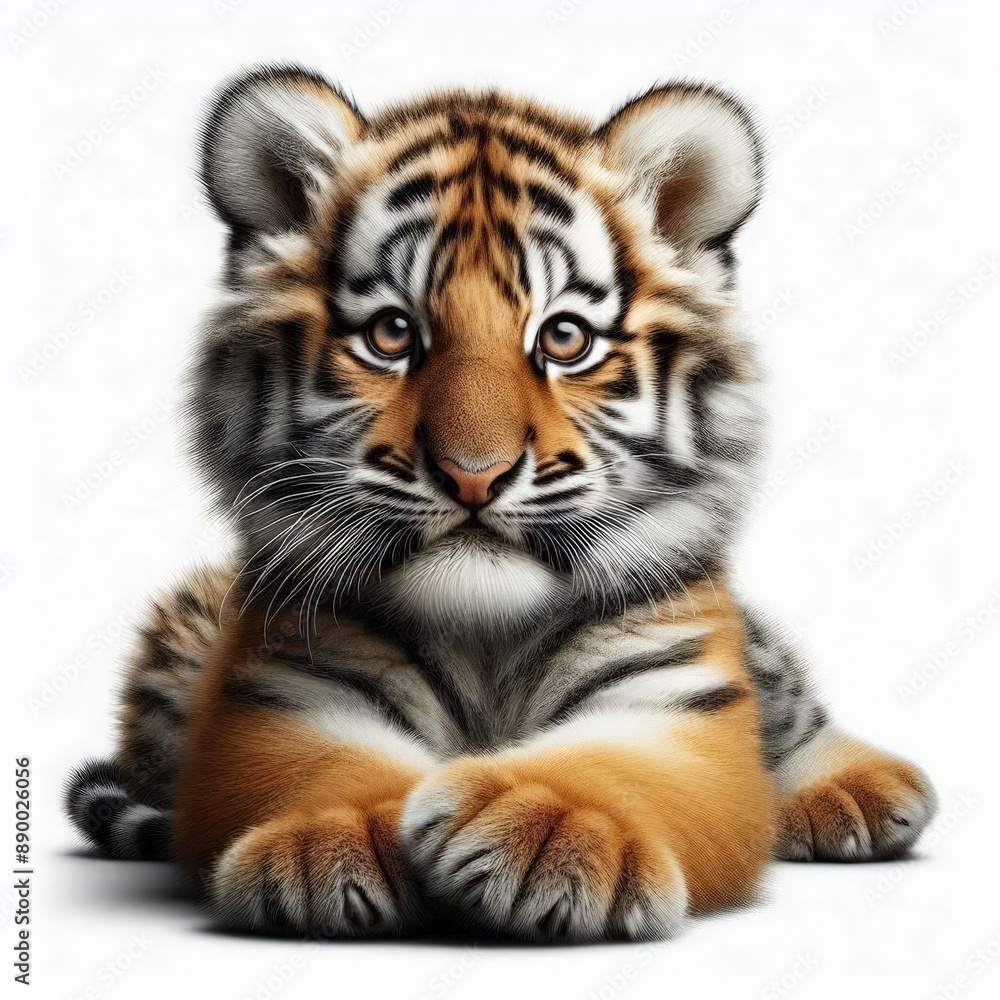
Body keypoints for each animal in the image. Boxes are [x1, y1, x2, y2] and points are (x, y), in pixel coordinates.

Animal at [65, 65, 938, 943]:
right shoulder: (281, 692)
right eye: (391, 334)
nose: (474, 474)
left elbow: (617, 765)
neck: (482, 634)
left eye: (564, 338)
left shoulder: (678, 699)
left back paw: (860, 792)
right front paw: (331, 845)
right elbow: (319, 765)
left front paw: (547, 832)